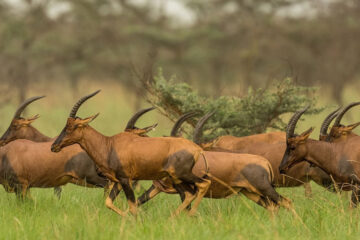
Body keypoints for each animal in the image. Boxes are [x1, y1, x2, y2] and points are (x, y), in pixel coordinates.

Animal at [52, 90, 212, 218]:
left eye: (72, 126)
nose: (54, 147)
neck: (109, 144)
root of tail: (197, 148)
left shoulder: (125, 180)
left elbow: (132, 206)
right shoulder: (118, 182)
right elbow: (109, 203)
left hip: (182, 175)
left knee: (204, 184)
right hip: (177, 179)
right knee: (190, 194)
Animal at [136, 112, 292, 212]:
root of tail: (265, 162)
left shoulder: (184, 189)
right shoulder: (157, 187)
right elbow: (139, 200)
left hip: (264, 188)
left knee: (285, 202)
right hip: (251, 192)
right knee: (273, 206)